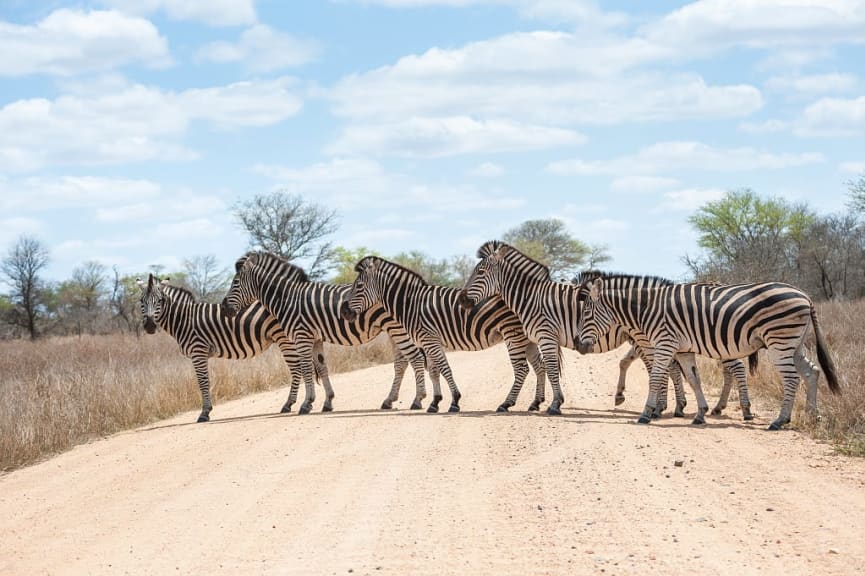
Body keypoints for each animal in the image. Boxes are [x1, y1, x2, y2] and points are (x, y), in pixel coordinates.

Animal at [137, 272, 330, 420]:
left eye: (160, 301)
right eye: (141, 301)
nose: (150, 326)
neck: (184, 319)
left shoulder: (198, 351)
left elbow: (203, 381)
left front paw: (205, 413)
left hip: (285, 338)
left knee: (297, 369)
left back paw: (289, 404)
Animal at [221, 252, 430, 414]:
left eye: (235, 282)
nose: (224, 308)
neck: (288, 298)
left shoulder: (301, 336)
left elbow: (305, 369)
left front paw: (306, 404)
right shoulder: (315, 339)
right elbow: (321, 368)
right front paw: (327, 401)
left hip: (398, 329)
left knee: (415, 358)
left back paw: (418, 399)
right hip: (394, 330)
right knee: (402, 362)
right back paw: (389, 400)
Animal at [338, 258, 548, 414]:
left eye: (359, 286)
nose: (344, 312)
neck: (410, 304)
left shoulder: (430, 339)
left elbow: (445, 369)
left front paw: (454, 401)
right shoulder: (428, 341)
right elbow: (433, 371)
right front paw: (435, 402)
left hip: (512, 334)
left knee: (522, 369)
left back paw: (506, 404)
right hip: (526, 338)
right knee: (539, 365)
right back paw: (536, 403)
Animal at [572, 272, 836, 430]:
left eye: (586, 313)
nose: (578, 344)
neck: (647, 309)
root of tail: (805, 296)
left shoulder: (664, 344)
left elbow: (656, 377)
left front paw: (647, 413)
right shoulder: (682, 349)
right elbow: (693, 379)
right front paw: (700, 413)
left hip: (779, 341)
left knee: (791, 378)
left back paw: (779, 420)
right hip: (794, 344)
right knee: (812, 372)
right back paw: (813, 415)